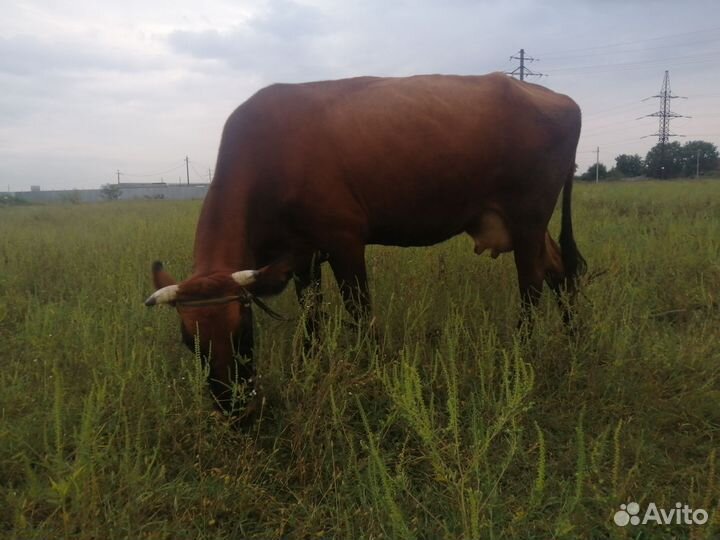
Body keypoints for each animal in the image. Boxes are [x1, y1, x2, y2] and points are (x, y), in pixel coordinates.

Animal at [145, 72, 586, 420]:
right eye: (189, 342)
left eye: (244, 331)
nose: (236, 410)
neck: (270, 154)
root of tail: (555, 96)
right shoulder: (301, 255)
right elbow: (313, 318)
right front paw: (308, 369)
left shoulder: (344, 241)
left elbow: (360, 313)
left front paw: (372, 375)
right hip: (525, 225)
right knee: (560, 271)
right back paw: (574, 339)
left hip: (527, 219)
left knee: (532, 284)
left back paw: (523, 356)